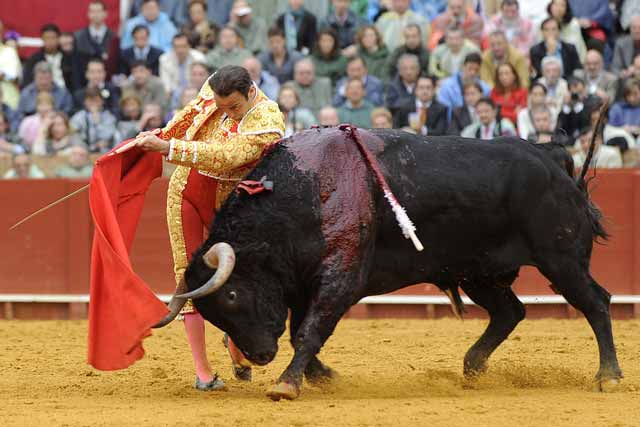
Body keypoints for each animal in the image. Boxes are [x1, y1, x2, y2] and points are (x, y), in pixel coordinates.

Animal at [154, 124, 620, 402]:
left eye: (232, 294)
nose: (259, 355)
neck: (303, 189)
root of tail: (550, 158)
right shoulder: (304, 281)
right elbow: (301, 327)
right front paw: (322, 375)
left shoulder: (342, 274)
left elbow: (309, 328)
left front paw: (287, 384)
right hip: (478, 270)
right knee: (510, 311)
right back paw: (472, 367)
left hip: (560, 258)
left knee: (596, 303)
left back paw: (608, 375)